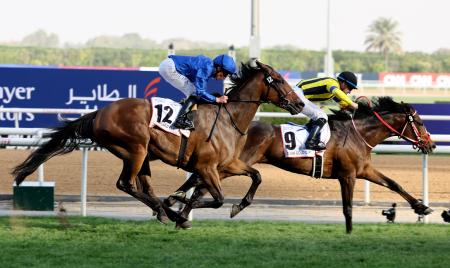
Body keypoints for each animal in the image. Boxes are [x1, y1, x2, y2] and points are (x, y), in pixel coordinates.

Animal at [11, 60, 306, 224]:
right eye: (280, 80)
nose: (300, 103)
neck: (228, 118)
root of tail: (99, 113)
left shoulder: (228, 164)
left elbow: (256, 176)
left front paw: (234, 206)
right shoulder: (208, 167)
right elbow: (217, 199)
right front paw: (184, 210)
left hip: (141, 154)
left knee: (145, 187)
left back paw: (165, 212)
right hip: (136, 149)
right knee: (126, 184)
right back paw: (167, 213)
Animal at [169, 96, 436, 232]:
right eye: (420, 123)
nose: (431, 145)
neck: (358, 133)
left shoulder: (364, 170)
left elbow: (394, 183)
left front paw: (422, 208)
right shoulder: (348, 175)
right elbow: (348, 207)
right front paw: (349, 232)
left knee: (199, 184)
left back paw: (177, 209)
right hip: (231, 164)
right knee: (201, 184)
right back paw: (180, 209)